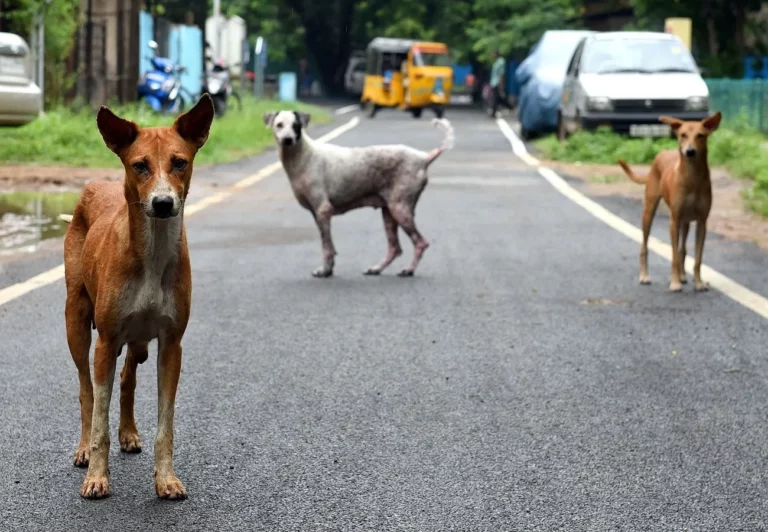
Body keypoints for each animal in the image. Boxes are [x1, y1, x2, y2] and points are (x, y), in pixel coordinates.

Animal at [60, 92, 213, 498]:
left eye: (180, 162)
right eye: (139, 166)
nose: (162, 203)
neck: (153, 254)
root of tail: (94, 184)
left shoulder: (172, 344)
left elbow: (165, 424)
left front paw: (166, 479)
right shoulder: (106, 340)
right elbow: (99, 416)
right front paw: (96, 476)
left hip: (138, 340)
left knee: (128, 377)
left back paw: (128, 432)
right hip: (76, 322)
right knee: (85, 390)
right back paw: (83, 448)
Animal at [616, 111, 720, 294]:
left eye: (700, 135)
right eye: (683, 135)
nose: (690, 151)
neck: (692, 178)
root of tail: (660, 154)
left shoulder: (702, 222)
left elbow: (697, 258)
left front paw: (698, 283)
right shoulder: (674, 220)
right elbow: (673, 256)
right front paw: (675, 283)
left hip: (685, 221)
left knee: (683, 249)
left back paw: (683, 276)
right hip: (649, 212)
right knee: (645, 247)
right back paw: (645, 276)